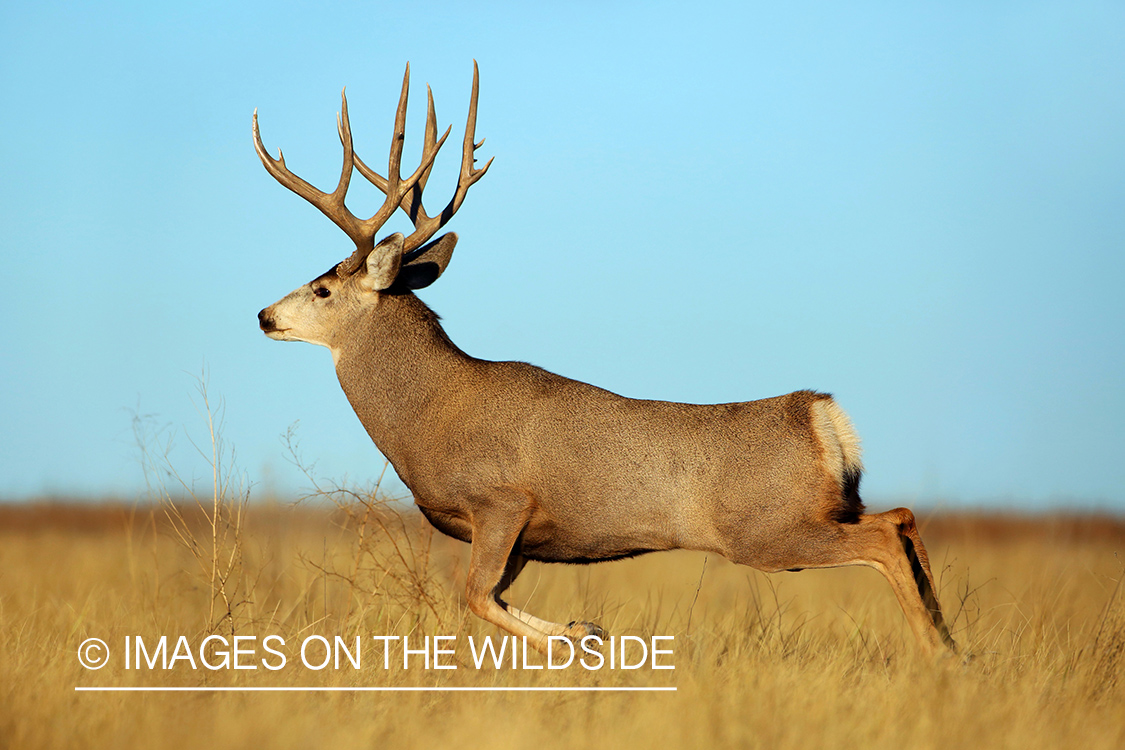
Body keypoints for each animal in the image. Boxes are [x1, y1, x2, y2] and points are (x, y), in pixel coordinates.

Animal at [255, 61, 958, 656]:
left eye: (322, 289)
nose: (264, 315)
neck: (427, 414)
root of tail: (820, 414)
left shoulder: (501, 502)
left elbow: (475, 597)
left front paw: (584, 634)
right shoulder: (526, 539)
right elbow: (490, 597)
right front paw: (581, 629)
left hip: (769, 529)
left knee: (885, 537)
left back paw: (934, 654)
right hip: (824, 509)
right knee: (901, 517)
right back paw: (955, 647)